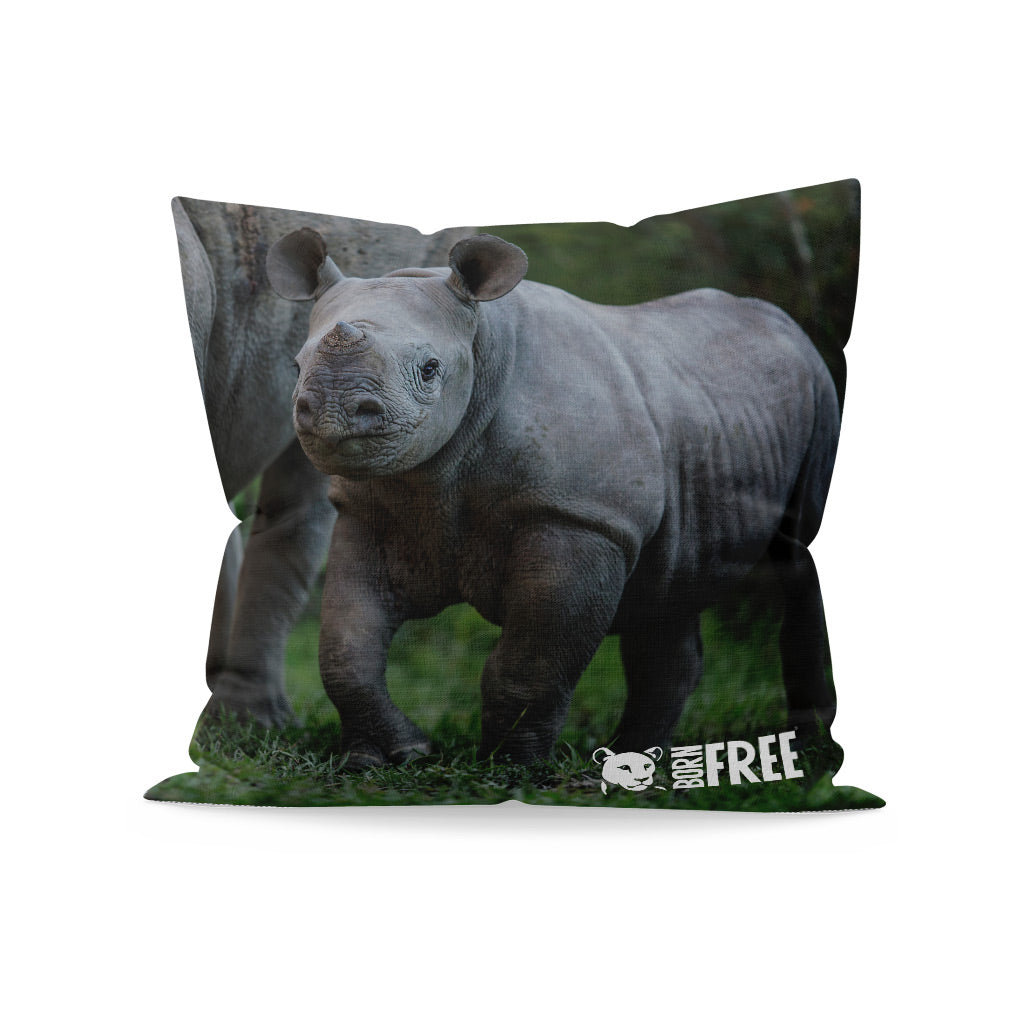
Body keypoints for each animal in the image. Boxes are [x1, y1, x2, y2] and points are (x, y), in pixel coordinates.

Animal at [266, 230, 842, 766]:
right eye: (295, 367)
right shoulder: (369, 510)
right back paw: (639, 757)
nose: (334, 410)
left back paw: (807, 747)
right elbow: (346, 648)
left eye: (430, 369)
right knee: (666, 596)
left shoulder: (580, 517)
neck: (483, 342)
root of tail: (786, 324)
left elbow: (531, 661)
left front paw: (509, 768)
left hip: (819, 388)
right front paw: (394, 755)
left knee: (797, 558)